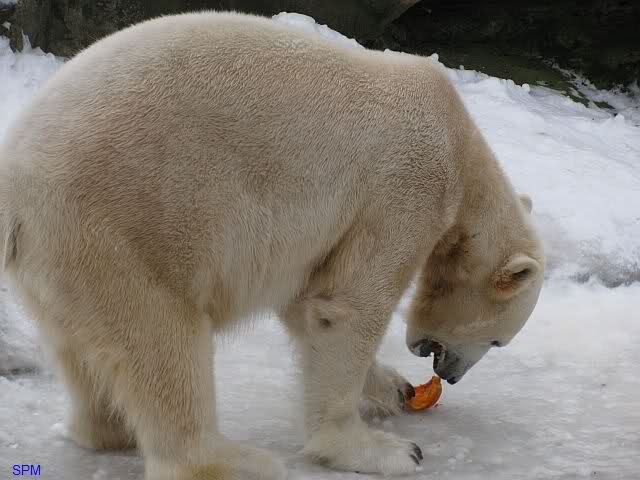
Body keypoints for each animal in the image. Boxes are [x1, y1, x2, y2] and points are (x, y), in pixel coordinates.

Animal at [0, 11, 544, 480]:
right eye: (497, 341)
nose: (448, 375)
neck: (461, 147)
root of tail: (14, 190)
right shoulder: (402, 190)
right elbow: (348, 307)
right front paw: (383, 450)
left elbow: (306, 304)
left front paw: (394, 386)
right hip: (124, 228)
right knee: (163, 340)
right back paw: (240, 461)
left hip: (61, 259)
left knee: (81, 347)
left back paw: (108, 430)